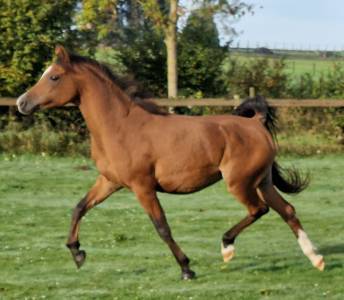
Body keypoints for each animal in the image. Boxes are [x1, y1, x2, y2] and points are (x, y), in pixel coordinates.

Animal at [16, 45, 324, 280]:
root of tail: (255, 123)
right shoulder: (110, 182)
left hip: (240, 183)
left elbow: (162, 226)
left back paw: (227, 247)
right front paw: (77, 253)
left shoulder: (142, 186)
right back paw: (316, 258)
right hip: (262, 181)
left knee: (259, 210)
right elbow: (79, 207)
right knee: (287, 210)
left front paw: (187, 269)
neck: (120, 127)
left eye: (54, 77)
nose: (22, 103)